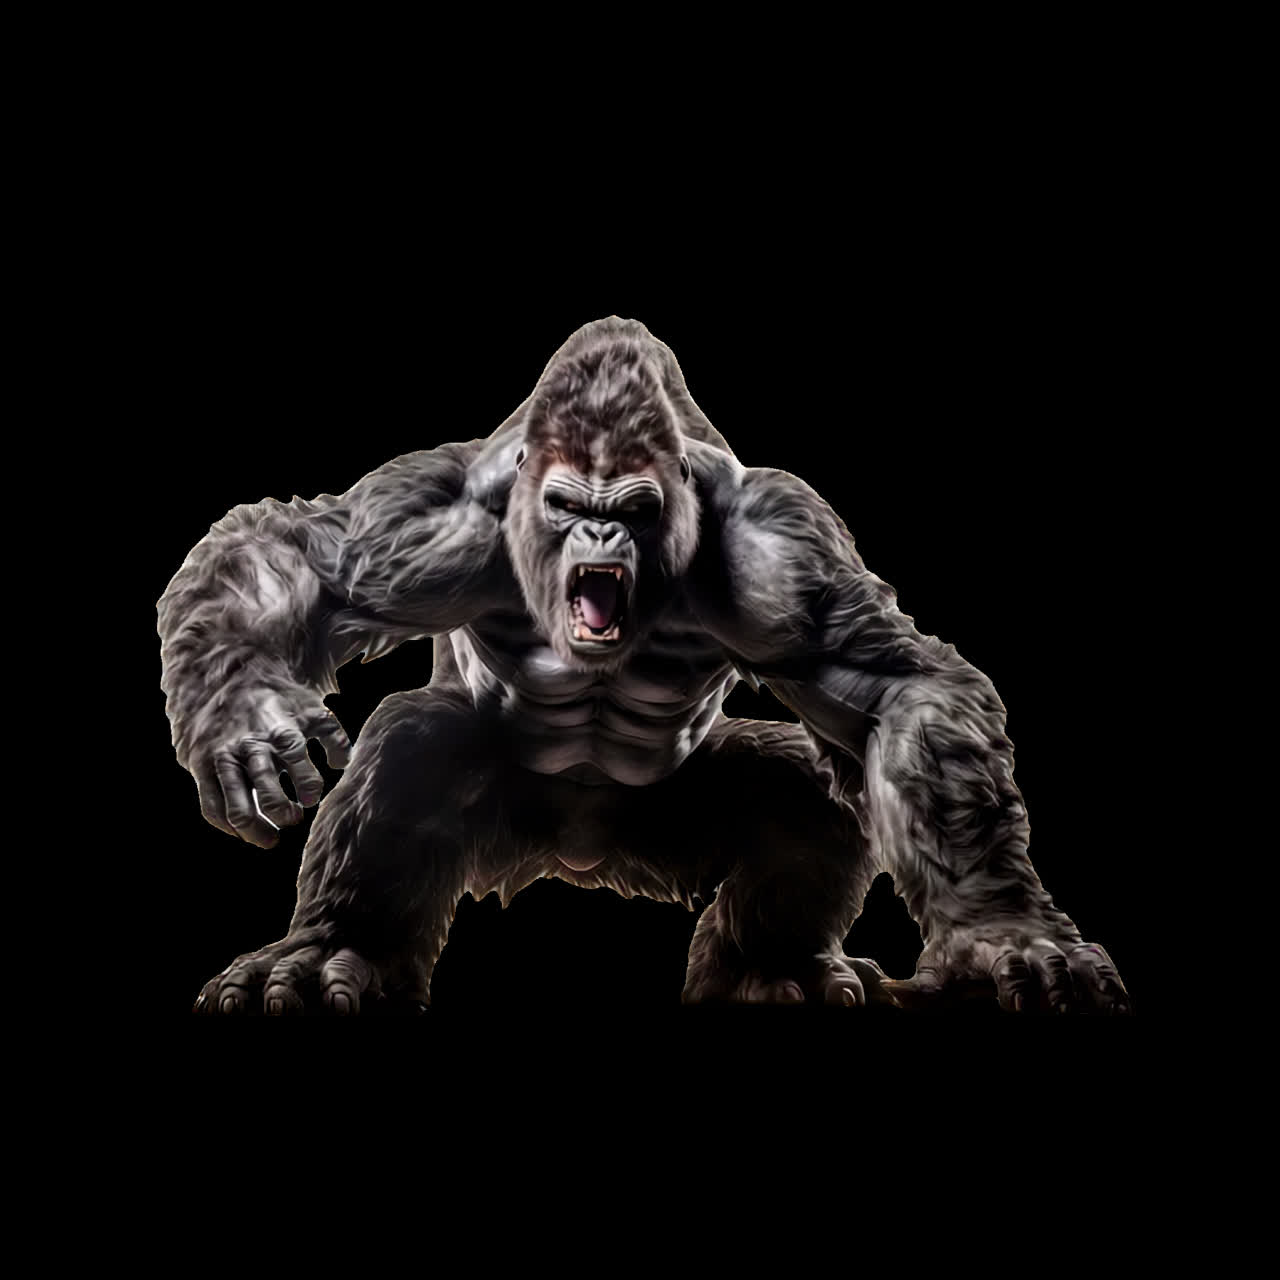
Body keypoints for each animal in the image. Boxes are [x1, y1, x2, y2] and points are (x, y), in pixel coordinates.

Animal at [158, 316, 1130, 1015]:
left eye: (632, 507)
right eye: (566, 505)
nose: (600, 535)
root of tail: (581, 854)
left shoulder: (781, 551)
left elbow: (895, 685)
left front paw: (1000, 930)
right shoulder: (429, 527)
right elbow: (307, 563)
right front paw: (244, 716)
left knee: (803, 795)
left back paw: (769, 970)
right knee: (413, 744)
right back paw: (337, 954)